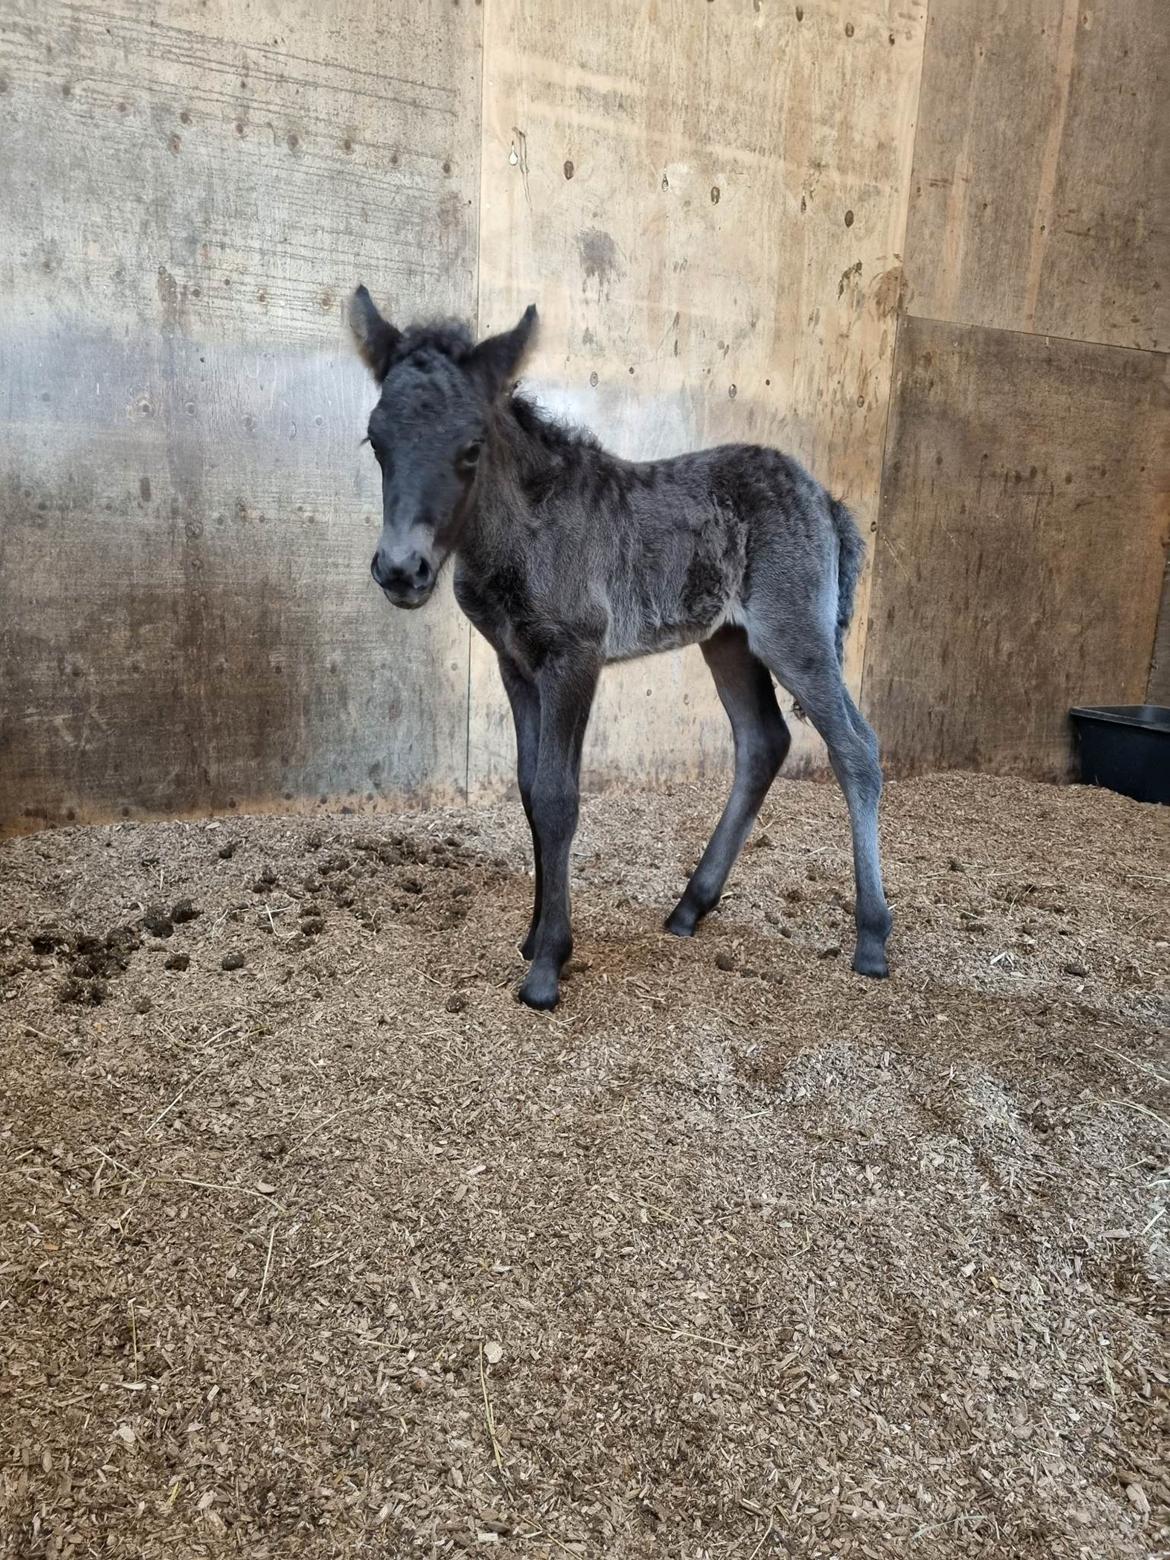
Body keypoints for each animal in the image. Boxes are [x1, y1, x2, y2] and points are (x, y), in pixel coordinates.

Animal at [352, 288, 892, 1010]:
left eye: (470, 448)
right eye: (376, 440)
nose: (401, 571)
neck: (525, 529)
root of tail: (827, 500)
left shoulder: (575, 657)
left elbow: (558, 797)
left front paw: (546, 968)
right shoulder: (515, 664)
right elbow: (530, 789)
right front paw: (534, 936)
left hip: (794, 634)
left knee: (855, 748)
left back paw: (872, 938)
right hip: (729, 641)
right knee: (763, 741)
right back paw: (690, 907)